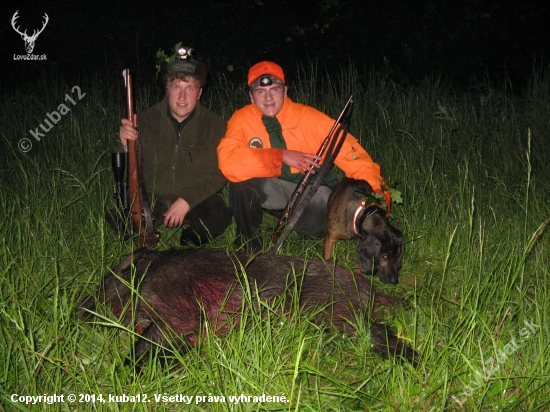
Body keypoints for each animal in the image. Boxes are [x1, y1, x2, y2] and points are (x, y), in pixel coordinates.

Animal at [81, 246, 418, 362]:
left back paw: (413, 363)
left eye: (105, 281)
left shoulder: (176, 312)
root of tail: (368, 289)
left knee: (378, 333)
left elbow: (142, 346)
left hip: (329, 312)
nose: (78, 312)